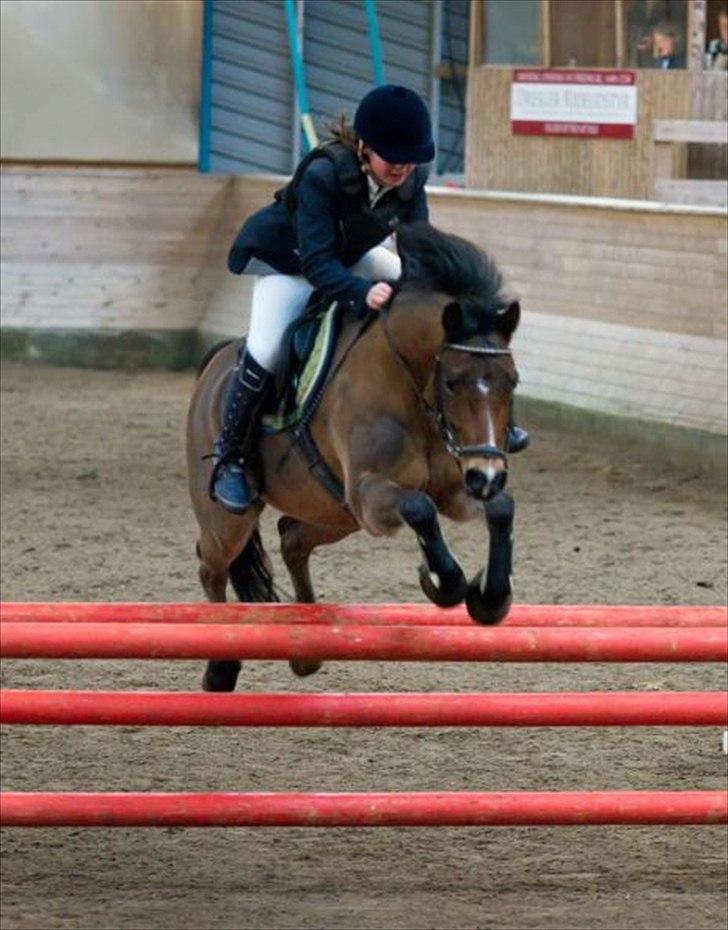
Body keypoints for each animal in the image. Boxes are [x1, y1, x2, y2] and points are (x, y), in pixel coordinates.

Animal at [186, 221, 521, 691]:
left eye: (513, 381)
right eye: (452, 382)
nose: (486, 476)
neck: (410, 385)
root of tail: (215, 362)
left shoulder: (455, 489)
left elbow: (501, 508)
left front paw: (490, 597)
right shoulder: (369, 493)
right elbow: (418, 506)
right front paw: (443, 582)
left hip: (335, 514)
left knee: (292, 538)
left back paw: (306, 650)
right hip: (230, 520)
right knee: (211, 564)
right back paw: (221, 667)